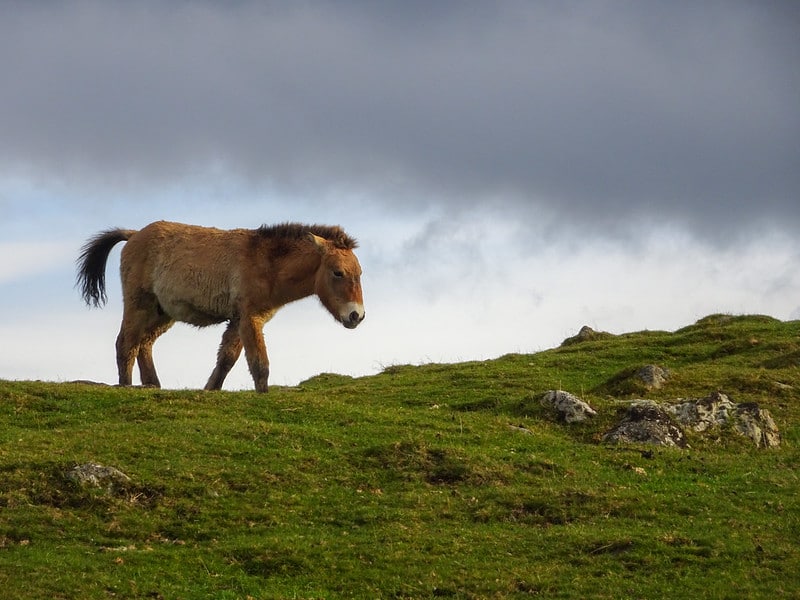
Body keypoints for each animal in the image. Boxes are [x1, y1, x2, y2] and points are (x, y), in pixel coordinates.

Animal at [75, 220, 362, 394]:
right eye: (337, 273)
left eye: (359, 273)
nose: (356, 315)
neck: (265, 261)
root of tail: (133, 235)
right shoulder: (249, 317)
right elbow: (259, 363)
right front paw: (263, 395)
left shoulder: (240, 320)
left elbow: (226, 359)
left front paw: (210, 390)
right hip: (139, 305)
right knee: (126, 344)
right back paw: (125, 386)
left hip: (162, 313)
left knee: (144, 344)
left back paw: (152, 385)